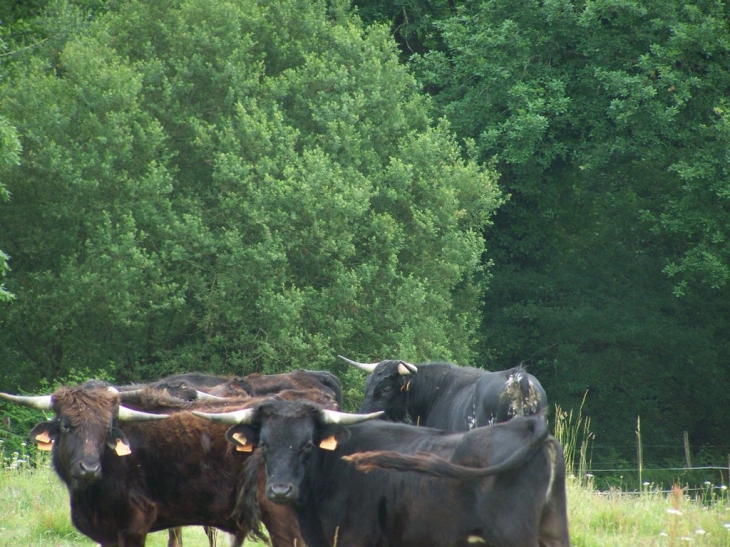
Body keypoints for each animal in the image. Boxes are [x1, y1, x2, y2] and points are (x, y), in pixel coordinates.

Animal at [193, 398, 568, 547]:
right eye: (266, 445)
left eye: (307, 446)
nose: (280, 491)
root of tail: (527, 425)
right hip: (552, 530)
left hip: (513, 535)